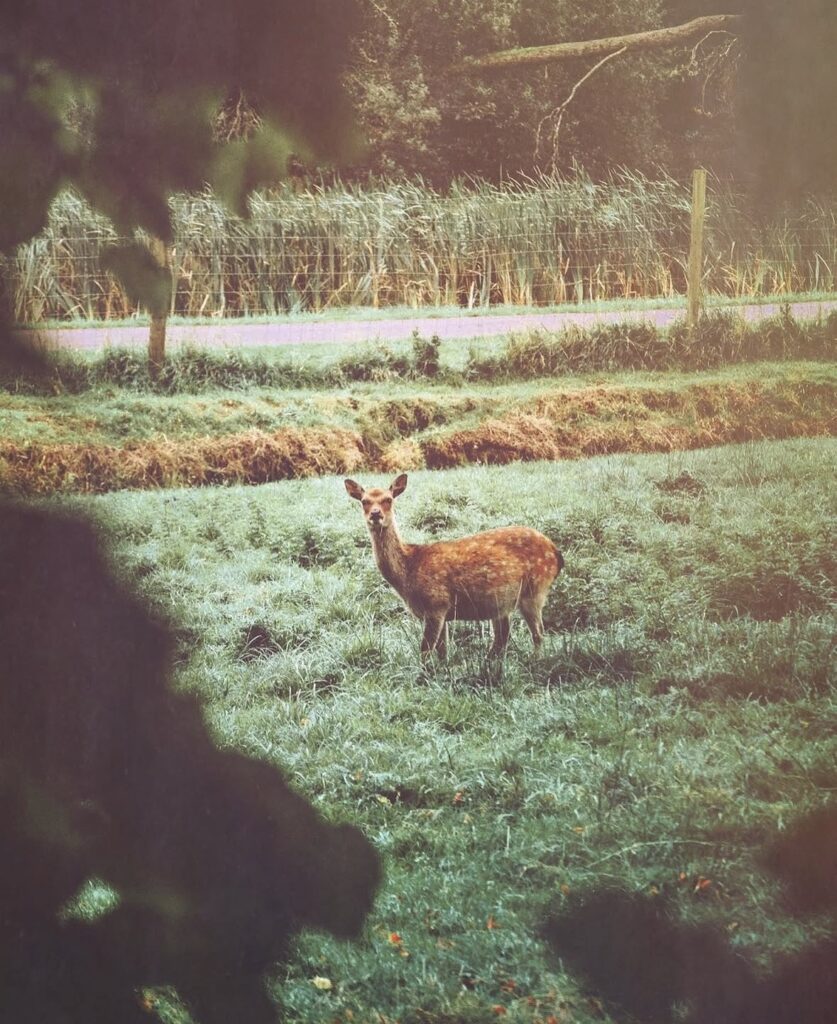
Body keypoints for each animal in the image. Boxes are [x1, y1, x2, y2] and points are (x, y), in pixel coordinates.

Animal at [345, 474, 563, 662]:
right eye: (364, 501)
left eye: (388, 499)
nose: (375, 515)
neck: (409, 570)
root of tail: (556, 552)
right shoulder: (442, 613)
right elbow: (442, 651)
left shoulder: (437, 604)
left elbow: (425, 649)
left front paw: (424, 677)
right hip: (502, 603)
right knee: (503, 637)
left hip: (535, 589)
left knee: (538, 633)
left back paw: (535, 661)